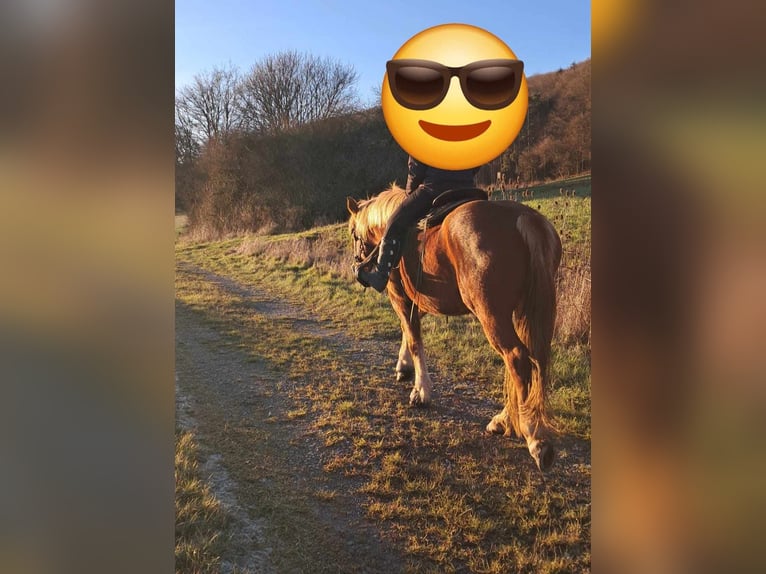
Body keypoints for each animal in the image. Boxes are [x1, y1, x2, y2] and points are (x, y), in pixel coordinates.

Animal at [348, 184, 564, 472]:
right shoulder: (417, 301)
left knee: (517, 358)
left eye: (353, 233)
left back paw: (534, 436)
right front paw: (404, 368)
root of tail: (523, 218)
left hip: (492, 315)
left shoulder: (398, 295)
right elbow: (408, 332)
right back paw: (505, 420)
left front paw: (421, 391)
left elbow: (414, 339)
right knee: (530, 362)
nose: (358, 266)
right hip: (524, 311)